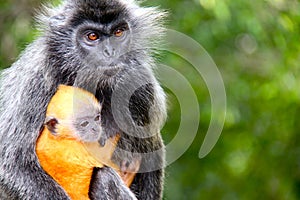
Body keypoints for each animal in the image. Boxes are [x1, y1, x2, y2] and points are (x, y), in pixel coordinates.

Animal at [0, 0, 166, 200]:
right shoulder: (36, 81)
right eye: (92, 36)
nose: (110, 52)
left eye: (118, 32)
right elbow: (12, 164)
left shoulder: (141, 85)